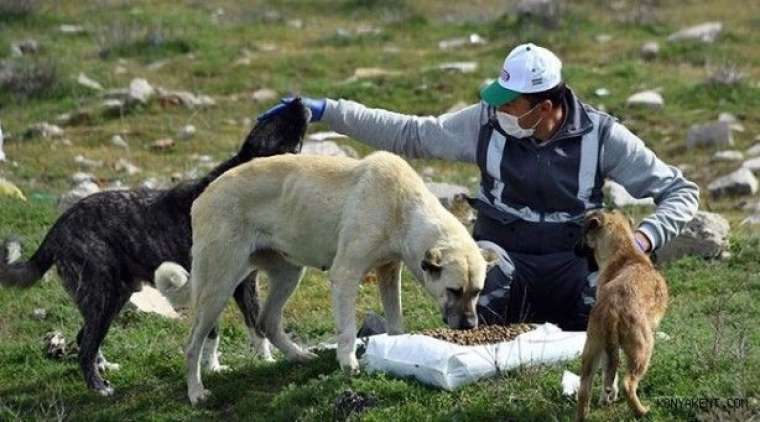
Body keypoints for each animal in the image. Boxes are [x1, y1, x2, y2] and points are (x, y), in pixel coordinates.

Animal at [0, 98, 308, 396]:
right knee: (85, 345)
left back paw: (104, 368)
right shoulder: (214, 285)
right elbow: (214, 331)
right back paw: (99, 387)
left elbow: (253, 326)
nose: (298, 99)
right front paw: (212, 370)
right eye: (272, 120)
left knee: (84, 337)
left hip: (115, 297)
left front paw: (256, 361)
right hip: (101, 297)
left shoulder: (244, 285)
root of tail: (58, 228)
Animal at [186, 150, 498, 404]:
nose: (470, 326)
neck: (402, 208)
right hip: (217, 289)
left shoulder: (389, 272)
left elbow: (396, 321)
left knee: (267, 321)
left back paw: (298, 355)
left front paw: (401, 350)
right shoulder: (346, 275)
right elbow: (347, 330)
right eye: (453, 290)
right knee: (192, 345)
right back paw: (196, 392)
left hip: (288, 274)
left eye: (477, 291)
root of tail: (202, 195)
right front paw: (349, 365)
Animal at [576, 209, 664, 420]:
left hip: (592, 347)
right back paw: (642, 411)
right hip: (642, 349)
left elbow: (609, 373)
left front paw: (606, 396)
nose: (574, 249)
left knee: (584, 390)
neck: (625, 250)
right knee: (628, 383)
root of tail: (612, 309)